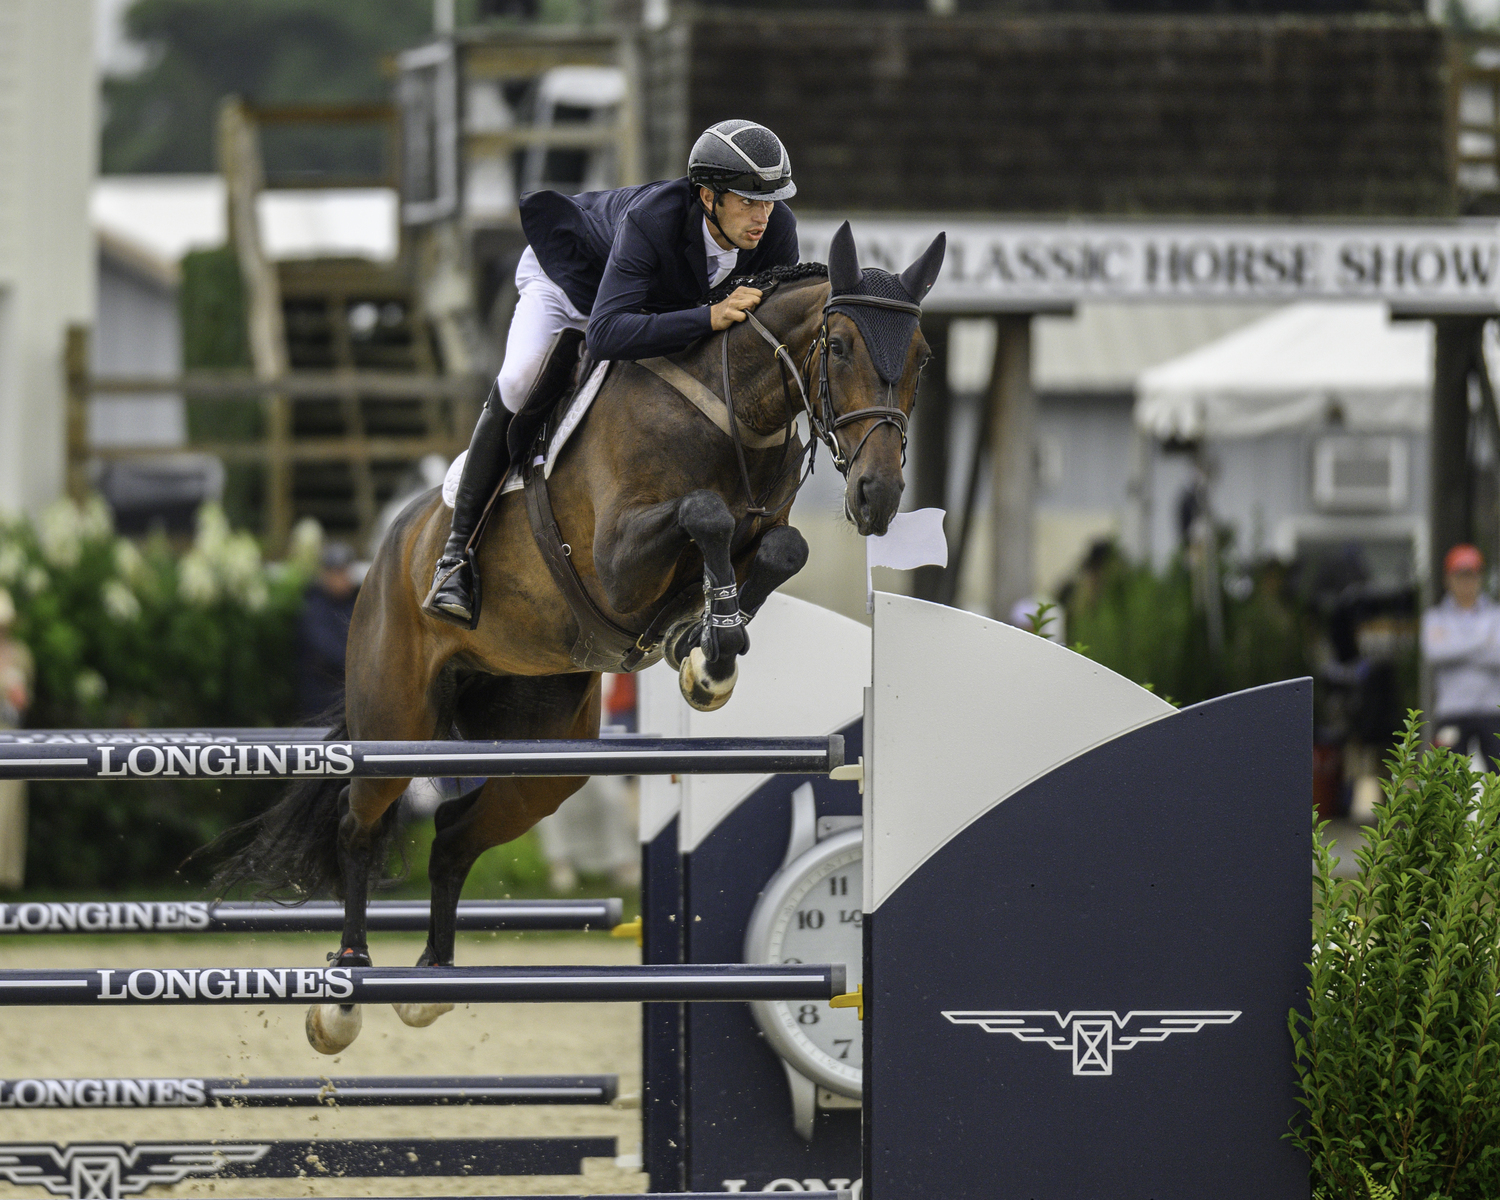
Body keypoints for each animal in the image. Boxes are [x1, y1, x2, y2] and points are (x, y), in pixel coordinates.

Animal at [210, 222, 942, 1050]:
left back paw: (429, 980)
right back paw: (344, 992)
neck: (732, 408)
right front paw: (707, 648)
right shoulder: (619, 558)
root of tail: (390, 545)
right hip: (396, 717)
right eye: (841, 346)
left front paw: (706, 654)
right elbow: (706, 514)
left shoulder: (759, 527)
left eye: (922, 358)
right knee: (359, 823)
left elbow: (781, 548)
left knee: (456, 833)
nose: (878, 497)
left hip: (545, 755)